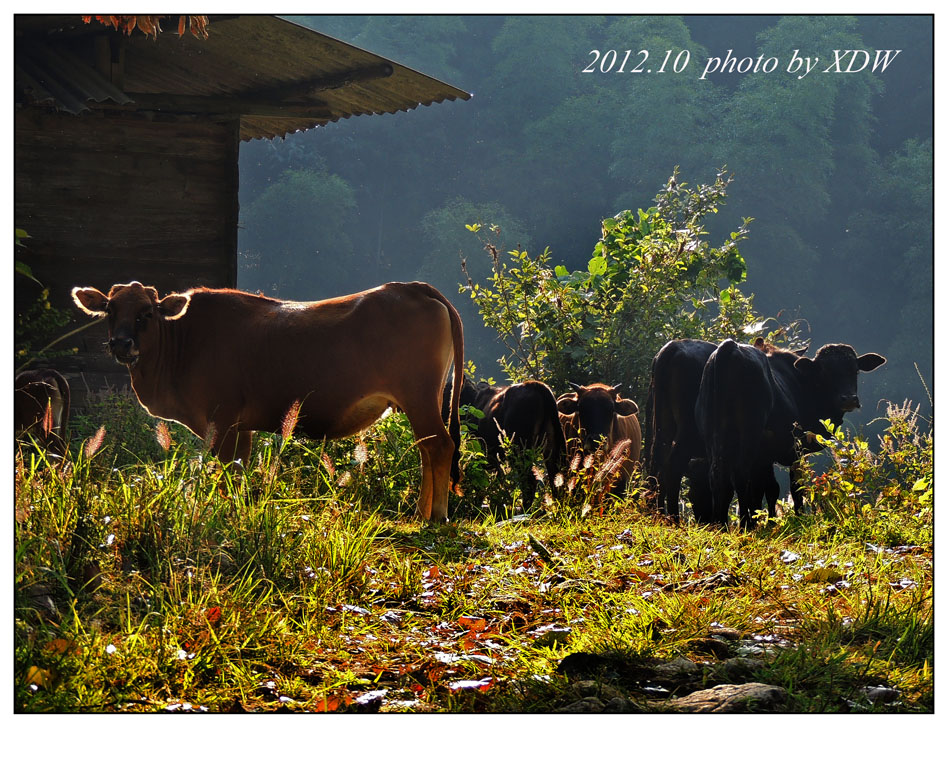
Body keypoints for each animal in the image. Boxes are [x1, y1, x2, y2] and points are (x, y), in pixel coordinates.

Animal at [70, 280, 464, 524]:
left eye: (147, 313)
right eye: (109, 309)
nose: (121, 343)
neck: (182, 344)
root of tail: (411, 287)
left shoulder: (222, 421)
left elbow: (227, 472)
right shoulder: (241, 428)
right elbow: (238, 472)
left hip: (419, 396)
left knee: (440, 446)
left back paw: (435, 514)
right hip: (422, 400)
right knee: (427, 449)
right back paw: (422, 511)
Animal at [700, 338, 884, 528]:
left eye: (855, 370)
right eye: (825, 371)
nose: (849, 399)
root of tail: (730, 346)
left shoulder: (764, 457)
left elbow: (765, 489)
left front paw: (768, 521)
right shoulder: (793, 450)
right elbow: (793, 486)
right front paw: (796, 518)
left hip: (713, 432)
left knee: (717, 475)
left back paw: (721, 524)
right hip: (749, 433)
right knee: (739, 474)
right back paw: (745, 524)